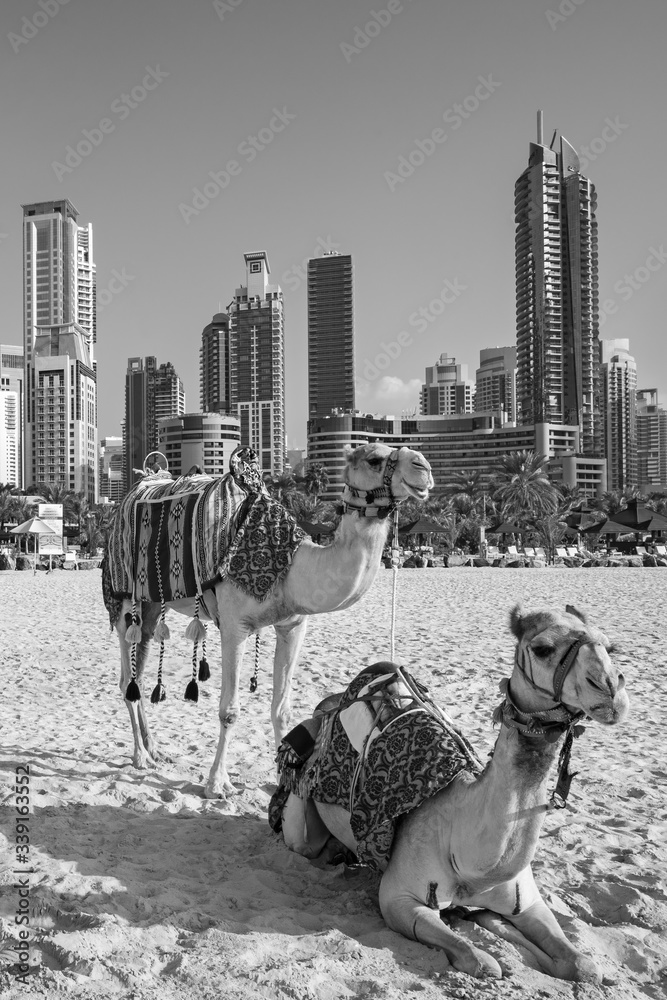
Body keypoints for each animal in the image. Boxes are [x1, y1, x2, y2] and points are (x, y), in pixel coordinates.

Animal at [105, 444, 434, 796]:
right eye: (374, 459)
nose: (423, 469)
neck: (291, 567)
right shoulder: (234, 626)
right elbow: (229, 711)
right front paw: (217, 784)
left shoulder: (293, 625)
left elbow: (282, 708)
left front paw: (281, 780)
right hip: (124, 598)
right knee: (126, 678)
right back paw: (140, 757)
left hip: (152, 605)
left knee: (140, 666)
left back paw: (154, 749)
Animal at [274, 604, 628, 980]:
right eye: (543, 648)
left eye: (610, 646)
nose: (610, 691)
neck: (473, 867)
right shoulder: (398, 898)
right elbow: (481, 961)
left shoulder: (530, 903)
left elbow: (584, 964)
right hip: (300, 820)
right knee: (305, 843)